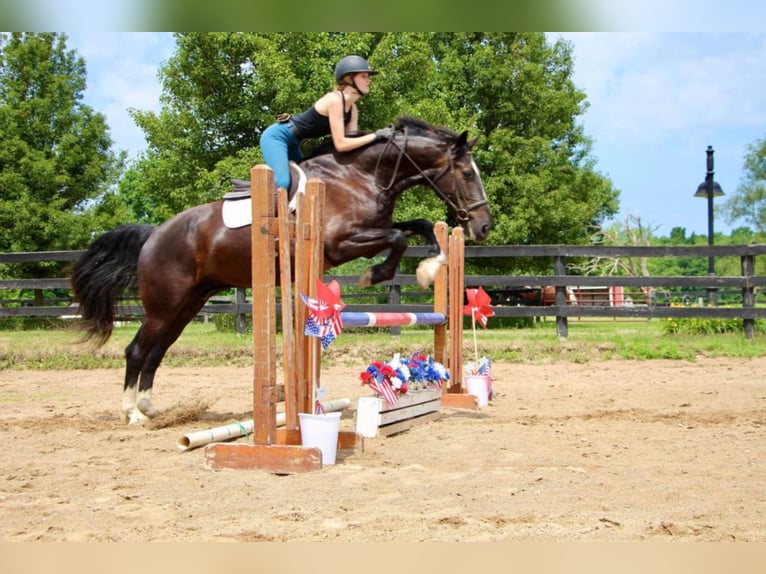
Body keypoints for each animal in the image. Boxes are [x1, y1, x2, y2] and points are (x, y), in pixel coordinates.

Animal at [70, 117, 492, 426]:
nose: (484, 227)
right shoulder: (341, 243)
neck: (363, 176)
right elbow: (398, 239)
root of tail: (154, 234)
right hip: (164, 305)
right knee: (137, 349)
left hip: (188, 304)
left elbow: (417, 227)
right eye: (467, 174)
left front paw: (429, 266)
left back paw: (149, 407)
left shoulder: (372, 229)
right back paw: (132, 413)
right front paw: (374, 275)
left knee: (157, 351)